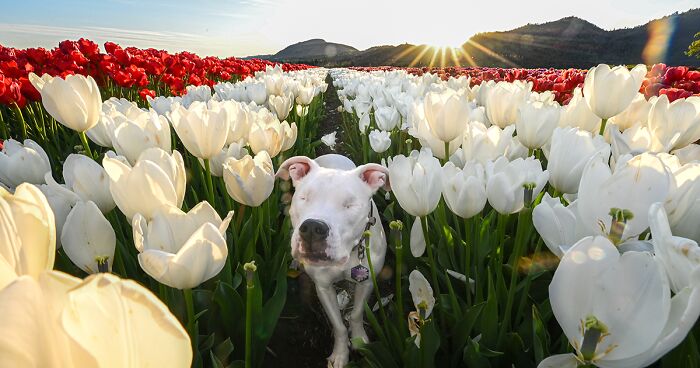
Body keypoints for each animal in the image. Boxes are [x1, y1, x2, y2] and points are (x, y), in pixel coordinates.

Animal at [278, 154, 388, 366]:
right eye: (304, 198)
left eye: (350, 205)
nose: (313, 228)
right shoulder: (323, 287)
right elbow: (338, 325)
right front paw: (340, 355)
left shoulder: (367, 282)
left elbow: (356, 314)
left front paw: (359, 340)